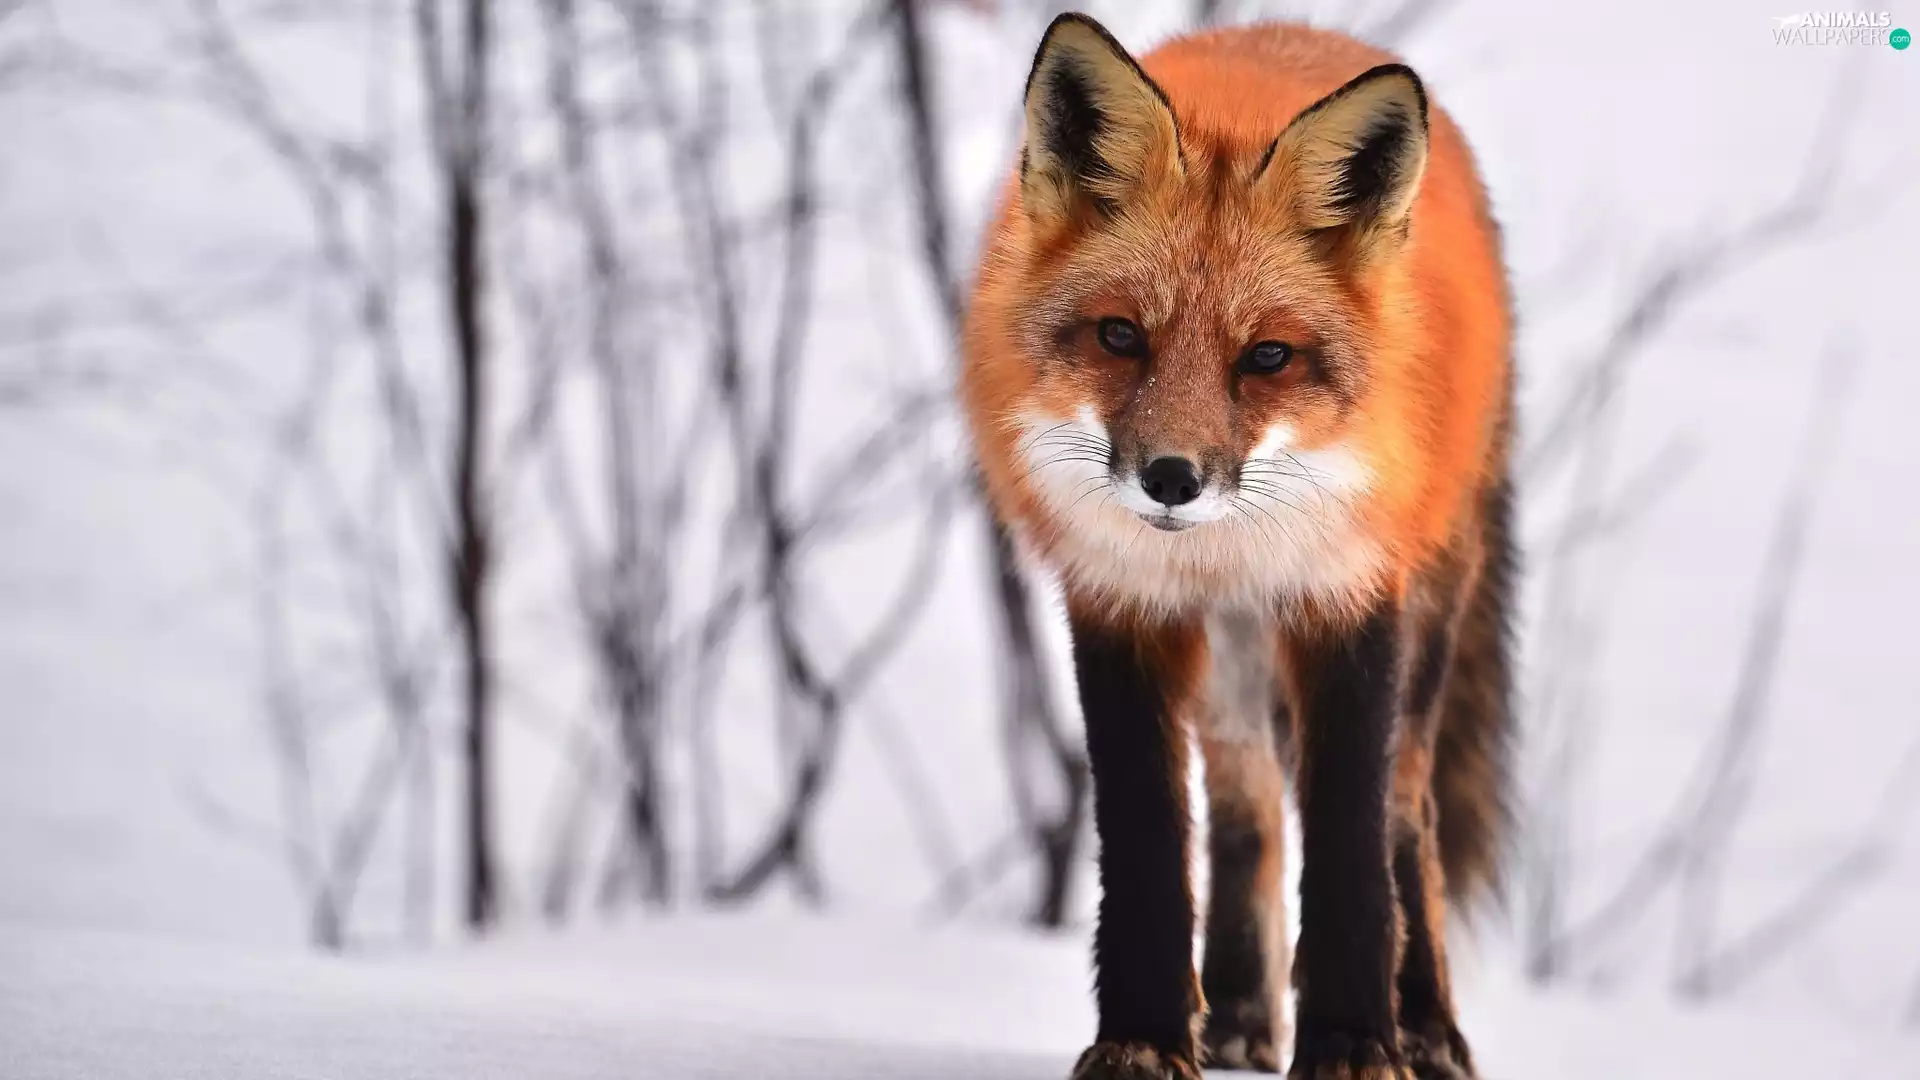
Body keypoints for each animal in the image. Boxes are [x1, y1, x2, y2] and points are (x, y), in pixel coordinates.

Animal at [959, 13, 1515, 1080]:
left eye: (1266, 357)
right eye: (1120, 336)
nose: (1171, 478)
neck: (1221, 549)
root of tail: (1297, 28)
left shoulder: (1348, 599)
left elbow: (1349, 845)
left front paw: (1353, 1042)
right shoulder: (1122, 603)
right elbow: (1148, 843)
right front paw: (1142, 1036)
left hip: (1425, 615)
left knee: (1407, 816)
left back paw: (1425, 1026)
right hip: (1228, 666)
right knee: (1245, 803)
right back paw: (1241, 1013)